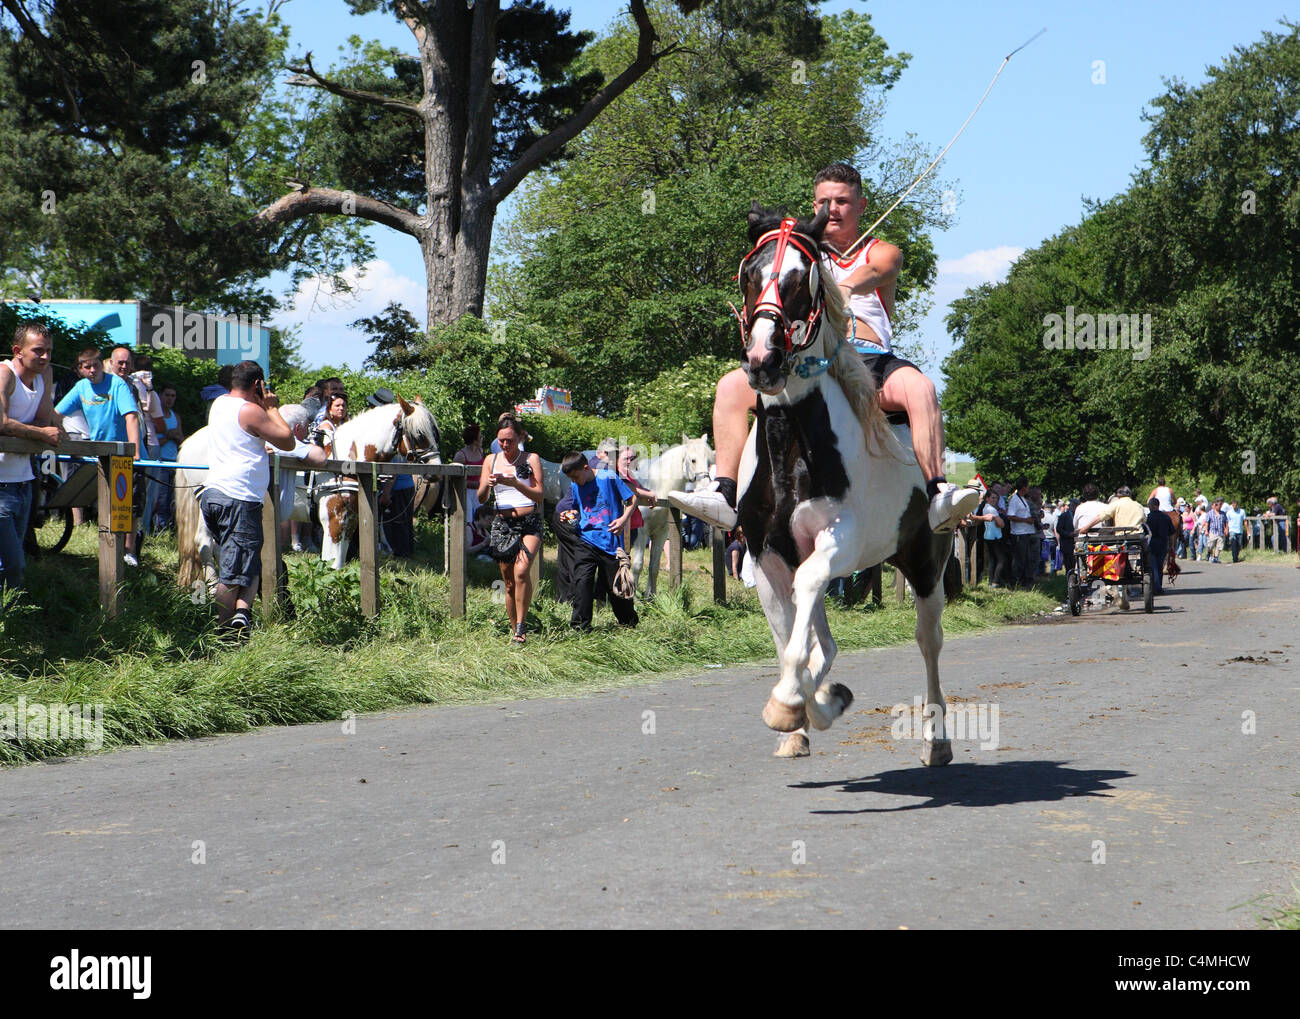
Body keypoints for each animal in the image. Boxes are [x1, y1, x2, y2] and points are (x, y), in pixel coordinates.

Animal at [626, 436, 712, 597]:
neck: (658, 490)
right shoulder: (642, 532)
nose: (705, 486)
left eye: (709, 462)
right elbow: (637, 565)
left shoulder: (661, 534)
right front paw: (633, 596)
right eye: (693, 460)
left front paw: (650, 596)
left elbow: (654, 566)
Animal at [738, 202, 961, 759]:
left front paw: (793, 703)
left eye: (802, 279)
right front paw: (808, 708)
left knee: (929, 642)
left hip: (926, 565)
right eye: (750, 275)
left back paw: (937, 741)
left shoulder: (838, 542)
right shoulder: (768, 557)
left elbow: (810, 621)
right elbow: (798, 644)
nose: (763, 361)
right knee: (824, 638)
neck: (792, 449)